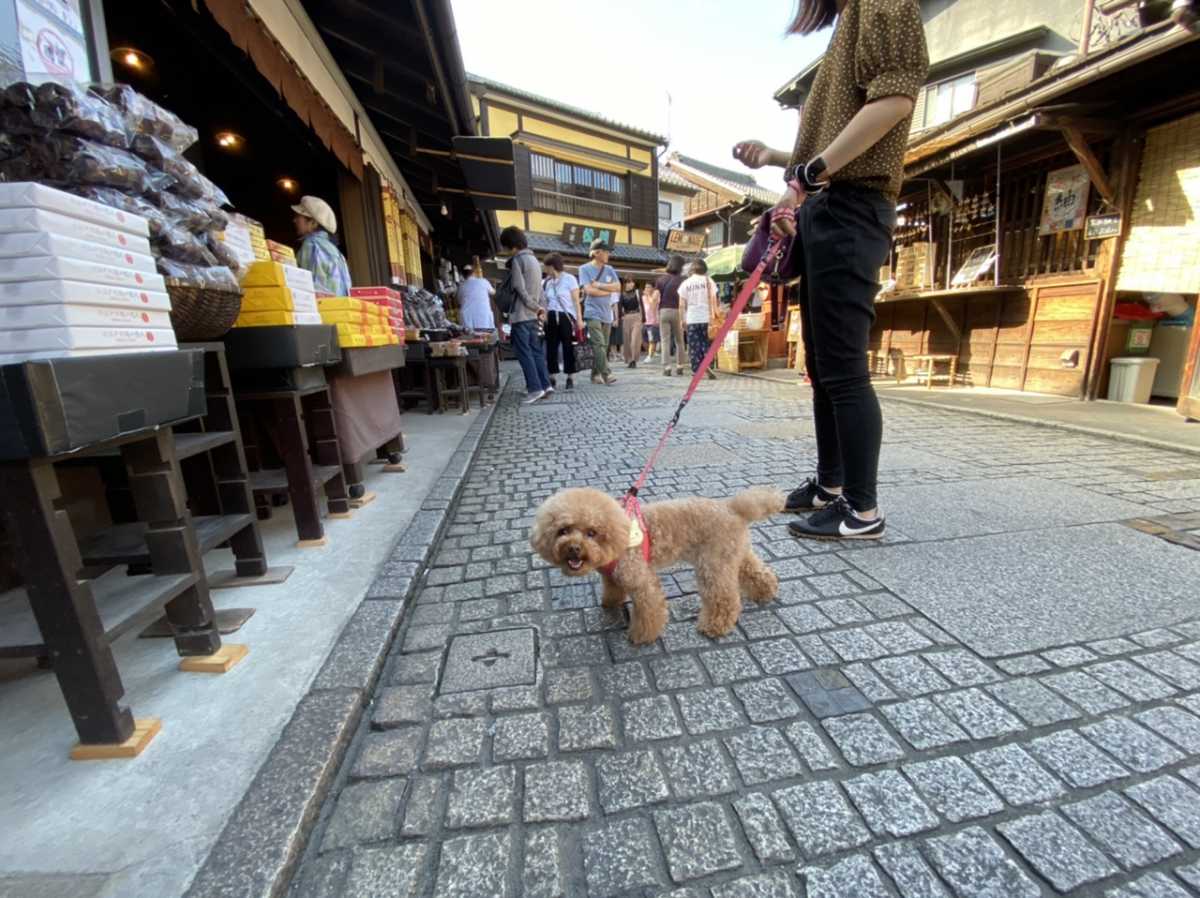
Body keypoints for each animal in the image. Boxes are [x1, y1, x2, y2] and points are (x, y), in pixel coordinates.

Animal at [530, 487, 782, 643]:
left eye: (592, 533)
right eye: (563, 531)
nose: (573, 548)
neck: (617, 540)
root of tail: (732, 507)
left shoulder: (640, 580)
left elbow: (649, 610)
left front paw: (642, 637)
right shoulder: (612, 575)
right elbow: (613, 589)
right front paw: (610, 603)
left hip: (712, 563)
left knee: (724, 598)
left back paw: (715, 626)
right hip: (733, 553)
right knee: (757, 571)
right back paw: (765, 592)